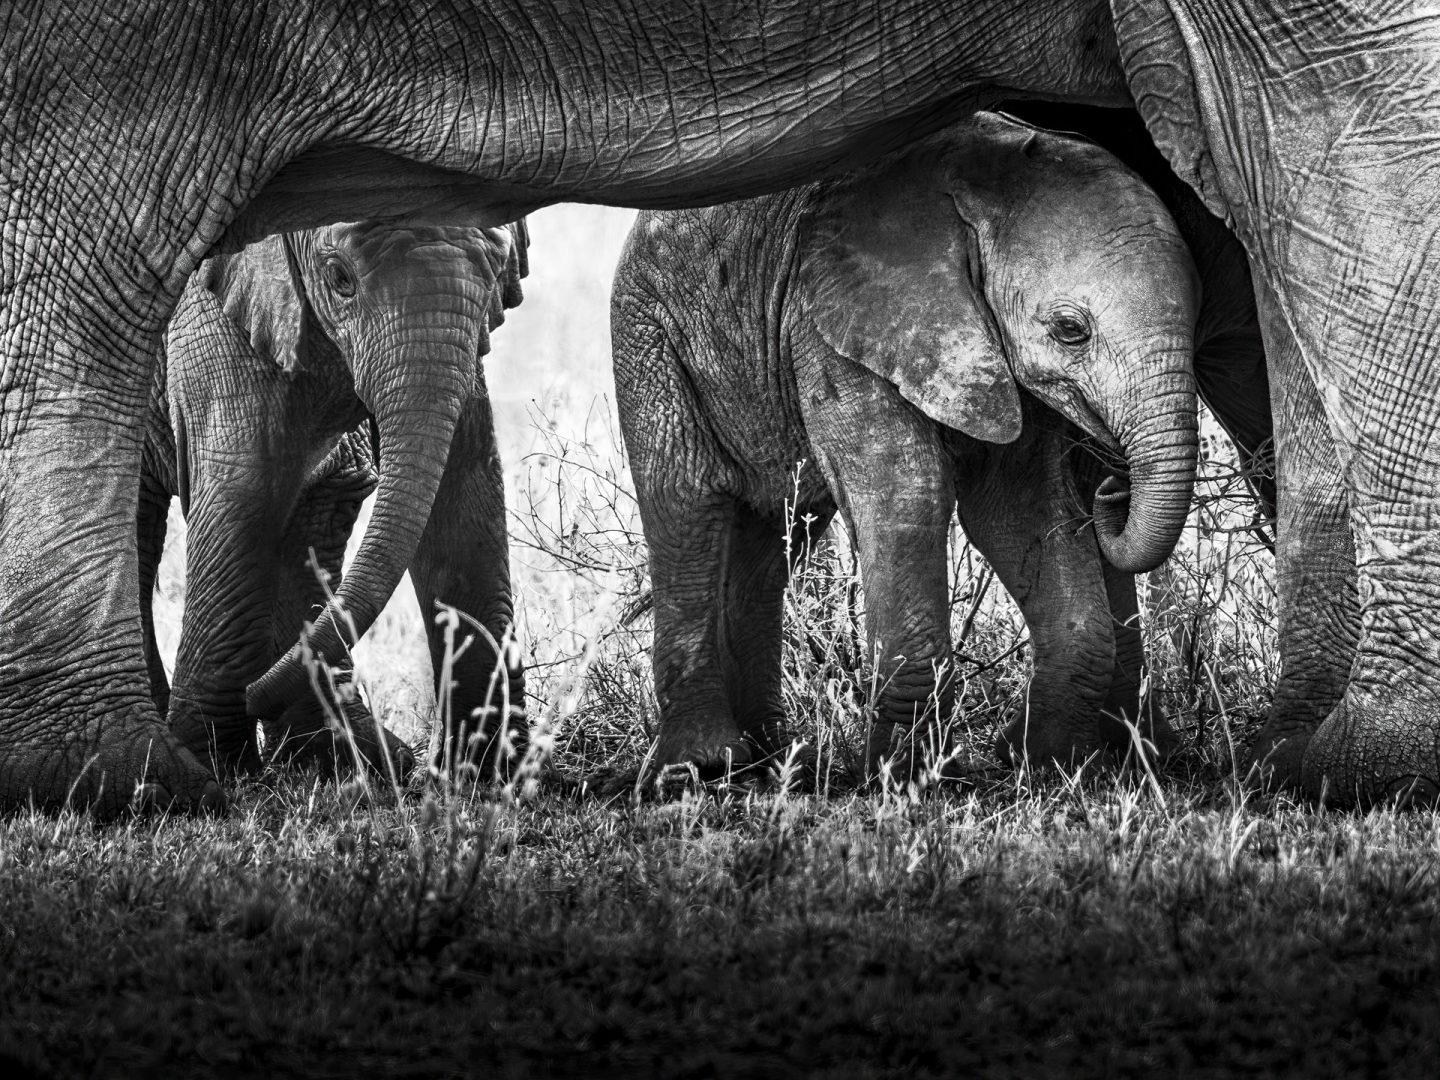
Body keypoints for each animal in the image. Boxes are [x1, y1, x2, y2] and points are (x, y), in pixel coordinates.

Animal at [138, 221, 529, 782]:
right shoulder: (208, 313)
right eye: (340, 279)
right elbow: (246, 486)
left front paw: (490, 775)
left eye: (497, 275)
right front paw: (214, 767)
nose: (254, 694)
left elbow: (466, 485)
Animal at [611, 113, 1199, 779]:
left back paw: (773, 759)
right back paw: (706, 765)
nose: (1114, 485)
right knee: (687, 509)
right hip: (649, 336)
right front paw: (902, 773)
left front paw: (1047, 761)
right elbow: (906, 497)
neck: (977, 192)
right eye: (1070, 330)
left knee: (776, 534)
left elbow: (1022, 511)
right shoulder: (830, 326)